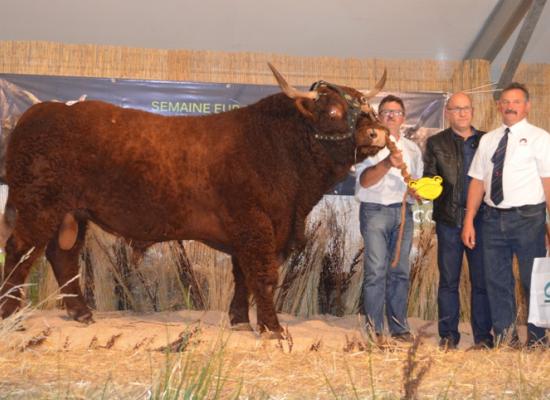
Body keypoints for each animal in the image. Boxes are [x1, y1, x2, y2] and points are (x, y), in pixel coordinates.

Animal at [0, 65, 388, 334]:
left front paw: (240, 320)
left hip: (72, 212)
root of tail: (40, 111)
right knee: (20, 250)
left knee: (61, 255)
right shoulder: (256, 223)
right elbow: (262, 275)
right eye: (334, 112)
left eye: (367, 108)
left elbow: (243, 275)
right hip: (39, 205)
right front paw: (274, 329)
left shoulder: (248, 231)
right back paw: (9, 312)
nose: (377, 132)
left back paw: (81, 313)